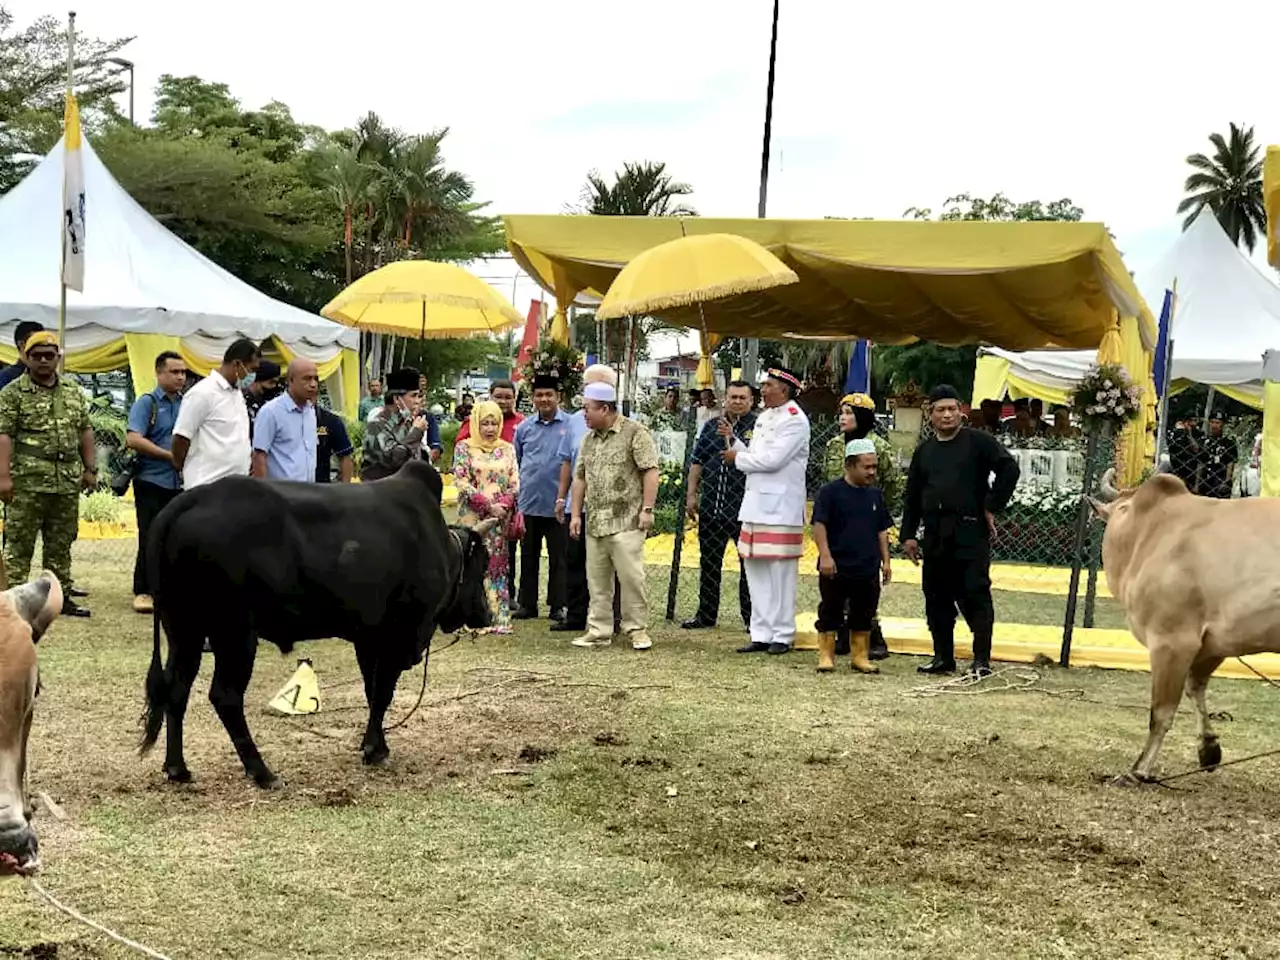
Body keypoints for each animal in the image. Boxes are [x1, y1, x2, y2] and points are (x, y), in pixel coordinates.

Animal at [138, 463, 494, 788]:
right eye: (484, 564)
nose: (487, 614)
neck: (440, 545)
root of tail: (187, 500)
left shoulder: (368, 638)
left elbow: (372, 692)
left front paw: (375, 745)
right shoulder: (397, 635)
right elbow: (382, 693)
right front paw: (374, 750)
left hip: (184, 631)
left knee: (176, 689)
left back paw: (177, 769)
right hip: (234, 633)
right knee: (225, 696)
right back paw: (262, 772)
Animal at [1095, 471, 1280, 783]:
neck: (1148, 531)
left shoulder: (1171, 640)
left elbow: (1161, 712)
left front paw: (1138, 771)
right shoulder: (1214, 644)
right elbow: (1196, 689)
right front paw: (1209, 750)